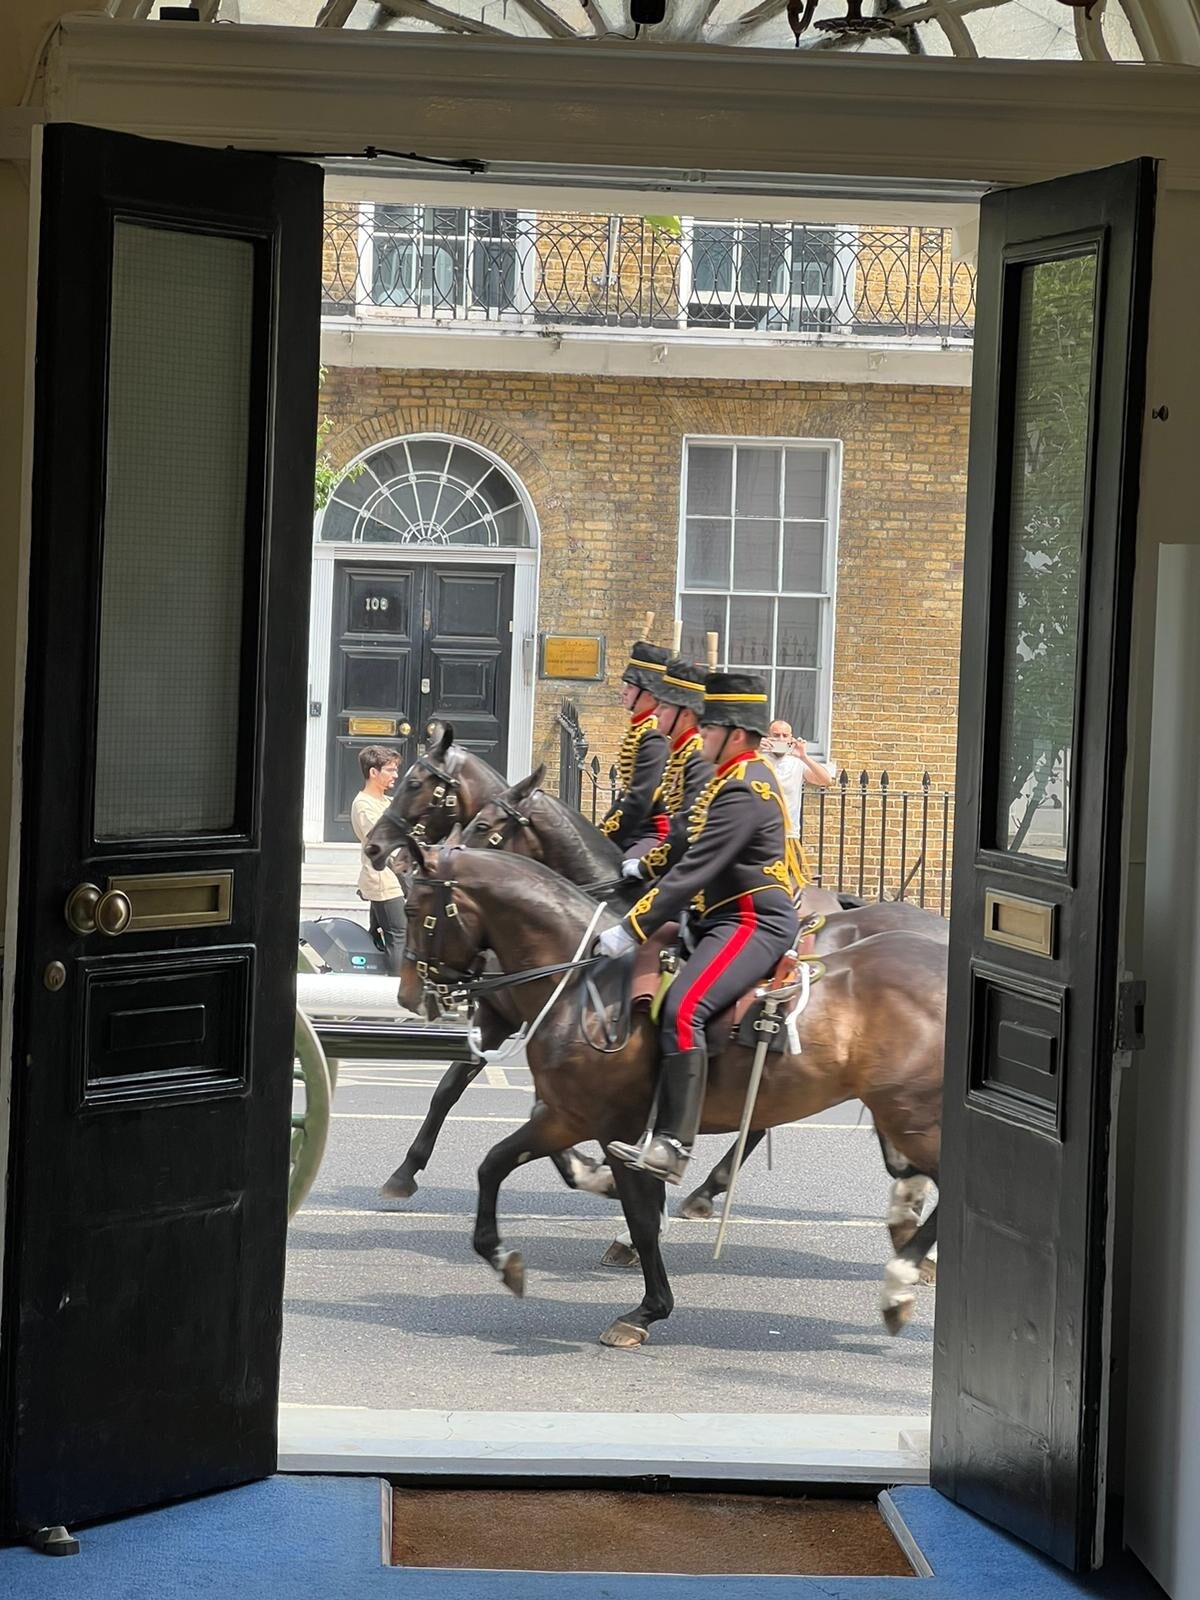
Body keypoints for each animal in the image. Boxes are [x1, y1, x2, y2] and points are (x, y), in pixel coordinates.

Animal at [396, 844, 947, 1344]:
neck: (583, 982)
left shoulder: (613, 1126)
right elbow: (493, 1162)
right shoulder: (567, 1116)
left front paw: (646, 1309)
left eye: (412, 909)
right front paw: (503, 1259)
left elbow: (640, 1216)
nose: (410, 995)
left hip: (913, 1115)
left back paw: (898, 1282)